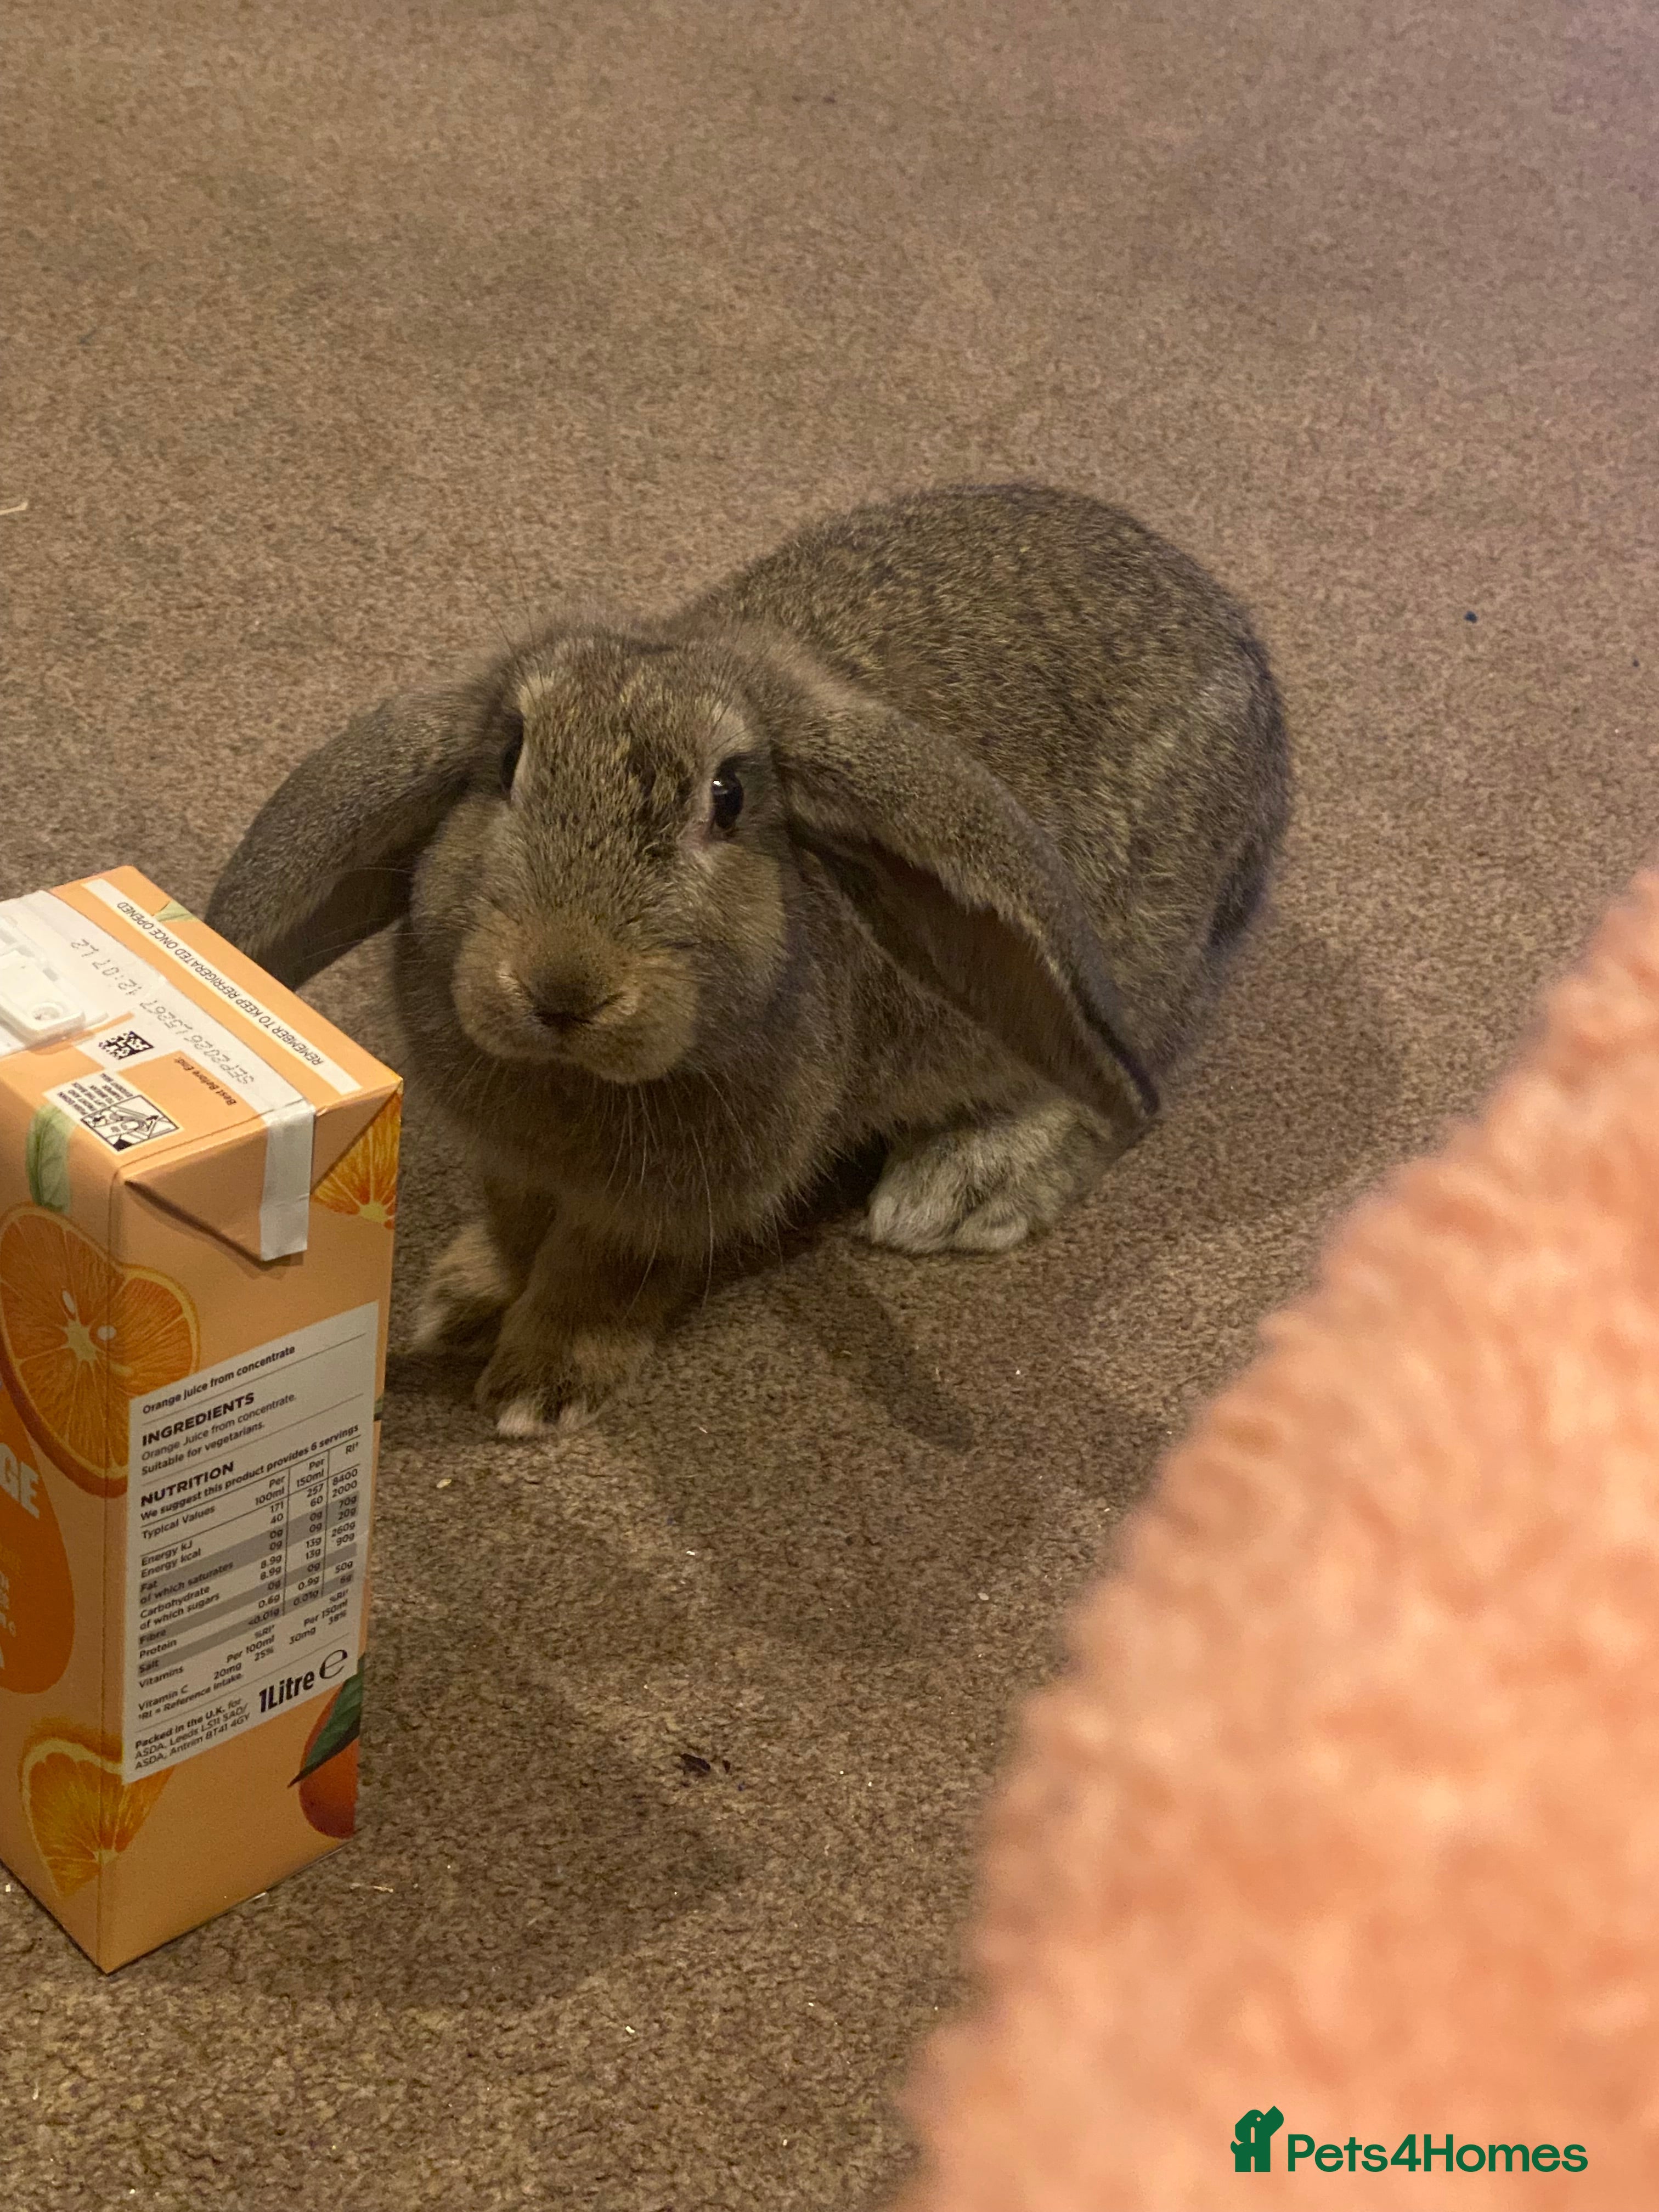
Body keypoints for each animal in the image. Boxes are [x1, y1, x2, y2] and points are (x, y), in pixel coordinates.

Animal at [206, 483, 1289, 1435]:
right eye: (507, 763)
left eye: (728, 798)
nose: (563, 987)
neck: (573, 1083)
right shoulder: (512, 1165)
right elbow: (514, 1228)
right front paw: (460, 1302)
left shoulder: (662, 1209)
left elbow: (599, 1275)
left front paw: (535, 1386)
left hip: (1126, 976)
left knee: (1104, 1096)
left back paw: (953, 1194)